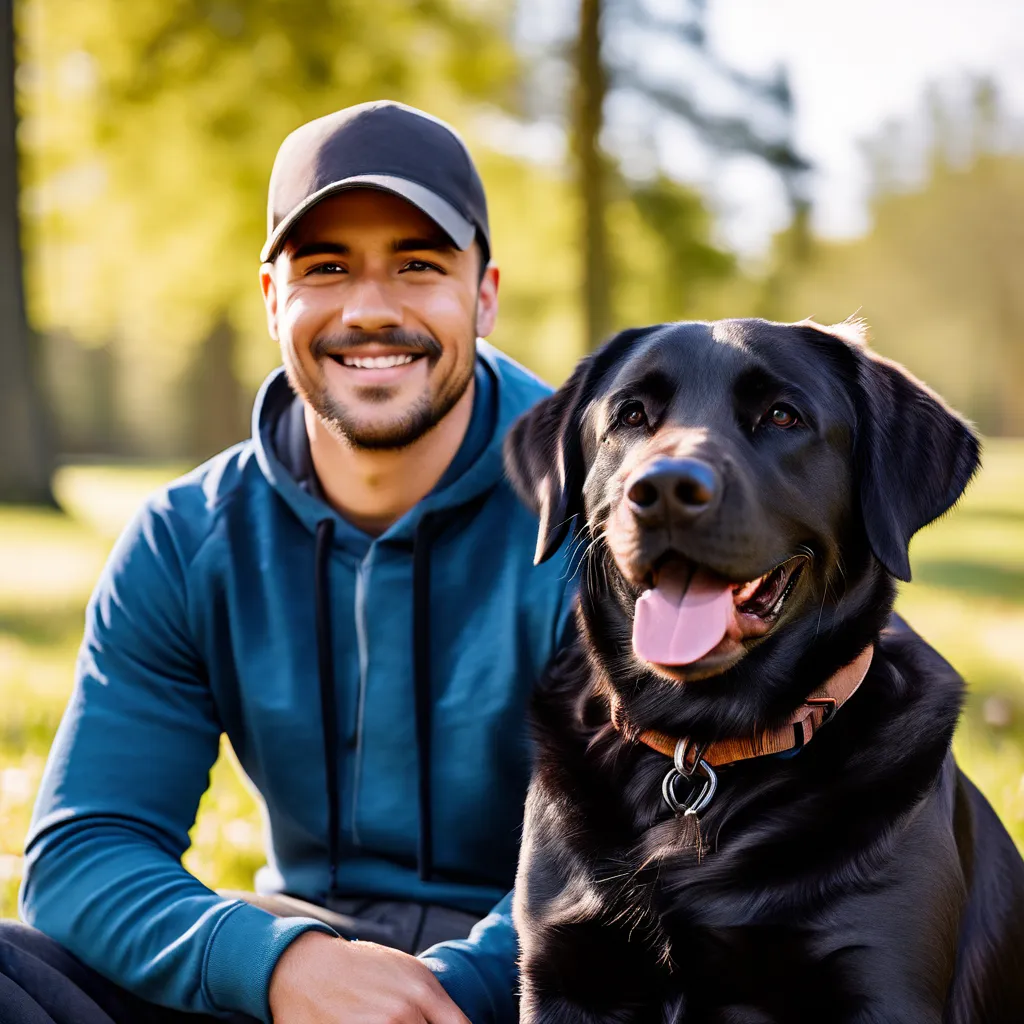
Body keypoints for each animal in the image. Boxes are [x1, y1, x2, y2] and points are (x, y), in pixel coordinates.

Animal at [507, 321, 1024, 1024]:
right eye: (631, 415)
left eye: (782, 415)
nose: (663, 491)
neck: (699, 749)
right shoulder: (564, 969)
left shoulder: (879, 982)